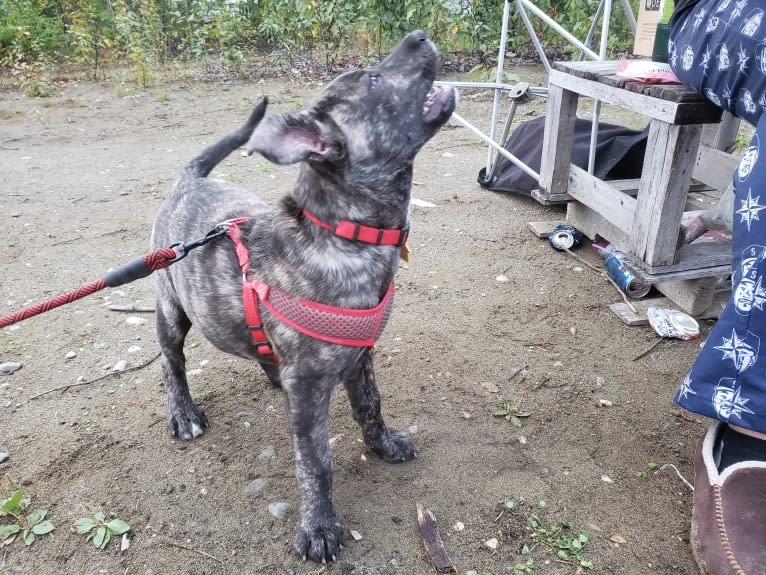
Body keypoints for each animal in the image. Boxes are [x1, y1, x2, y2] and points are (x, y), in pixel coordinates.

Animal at [153, 30, 460, 564]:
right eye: (374, 80)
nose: (418, 35)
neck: (345, 234)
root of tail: (190, 180)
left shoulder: (360, 353)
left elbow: (370, 404)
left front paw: (383, 444)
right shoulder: (312, 387)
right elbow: (316, 460)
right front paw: (319, 526)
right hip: (172, 310)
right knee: (173, 363)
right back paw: (183, 413)